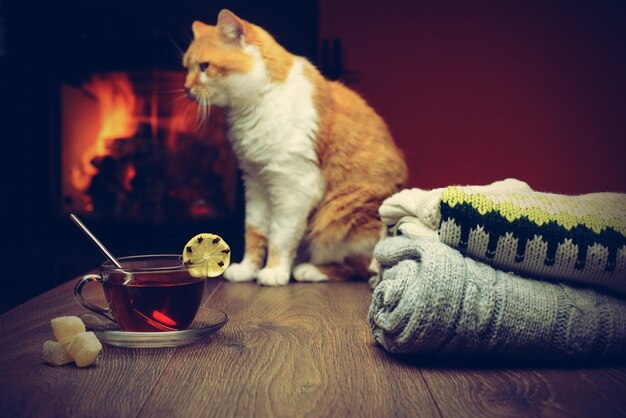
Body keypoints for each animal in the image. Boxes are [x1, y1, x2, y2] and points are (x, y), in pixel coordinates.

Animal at [182, 8, 404, 286]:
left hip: (339, 213)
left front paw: (274, 271)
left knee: (362, 267)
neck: (253, 107)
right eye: (186, 68)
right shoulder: (255, 181)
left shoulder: (293, 185)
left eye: (204, 67)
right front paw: (247, 269)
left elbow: (280, 235)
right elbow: (254, 231)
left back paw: (308, 270)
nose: (186, 88)